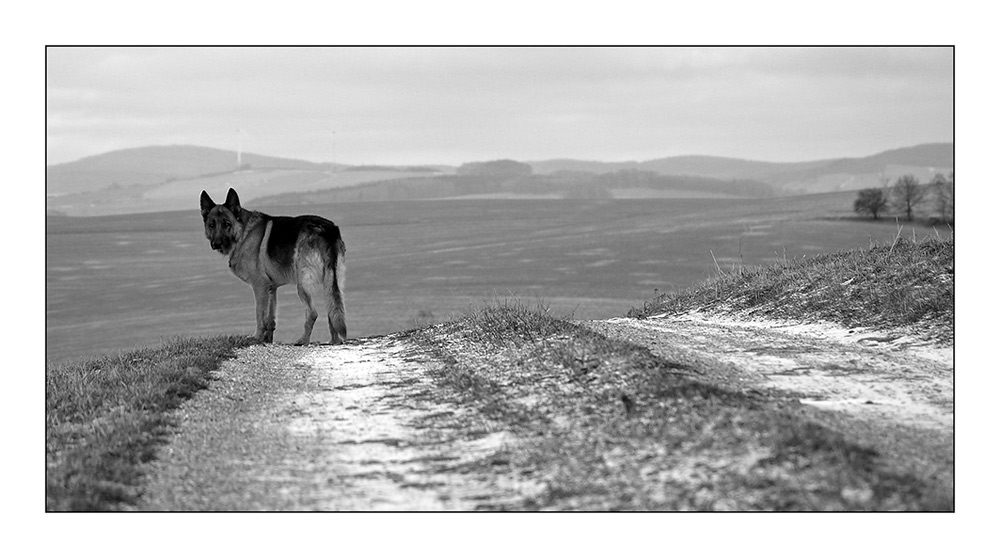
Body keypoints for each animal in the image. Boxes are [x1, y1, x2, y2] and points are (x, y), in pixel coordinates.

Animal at [199, 188, 348, 346]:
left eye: (227, 224)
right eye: (211, 225)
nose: (216, 244)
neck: (243, 232)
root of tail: (328, 230)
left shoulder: (260, 287)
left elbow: (259, 315)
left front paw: (257, 337)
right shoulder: (271, 289)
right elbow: (270, 320)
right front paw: (267, 340)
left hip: (302, 284)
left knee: (313, 313)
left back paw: (303, 340)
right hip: (330, 282)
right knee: (332, 311)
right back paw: (334, 341)